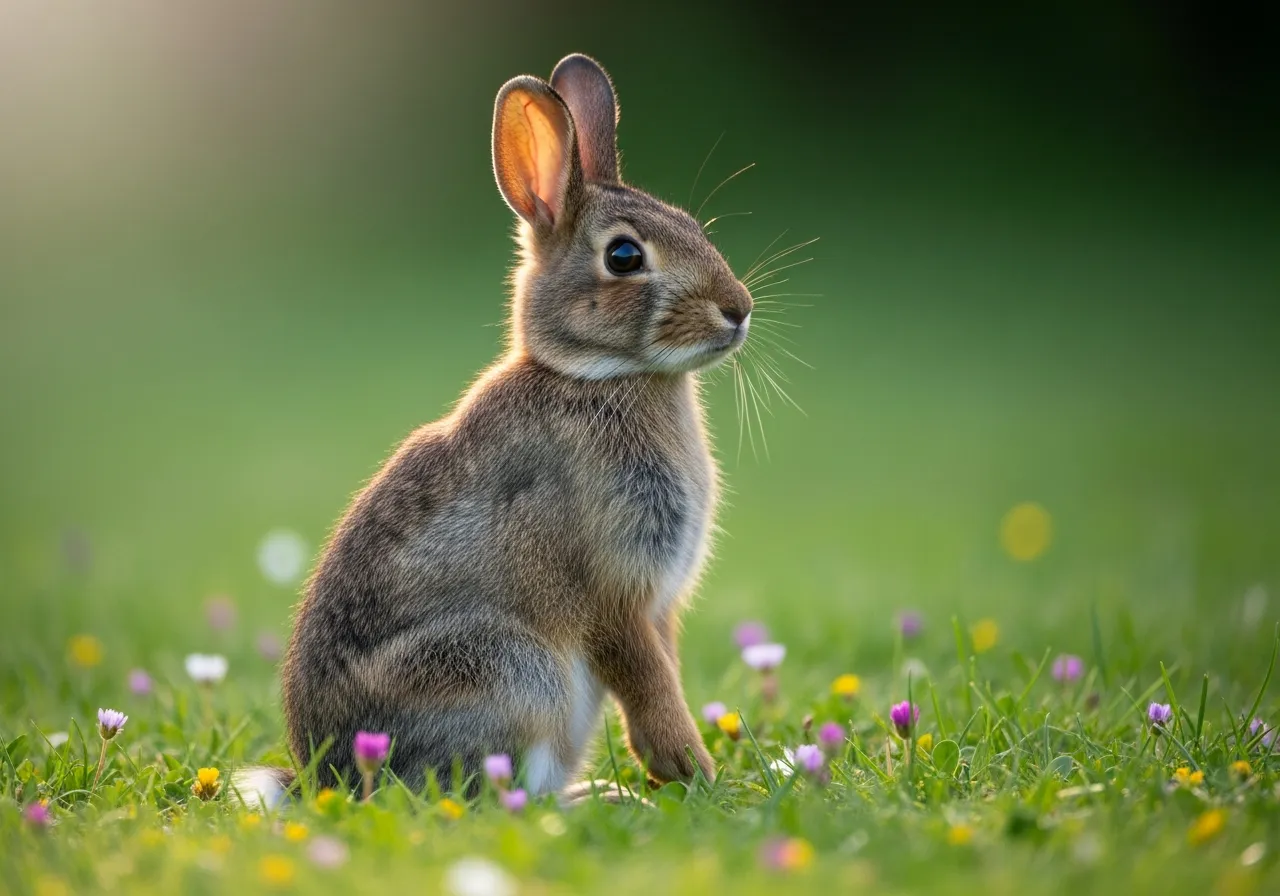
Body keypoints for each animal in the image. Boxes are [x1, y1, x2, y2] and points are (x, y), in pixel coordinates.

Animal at [243, 53, 753, 806]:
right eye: (625, 257)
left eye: (693, 225)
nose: (738, 308)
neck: (595, 376)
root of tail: (326, 780)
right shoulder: (612, 593)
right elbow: (651, 688)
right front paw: (695, 771)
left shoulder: (657, 605)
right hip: (512, 673)